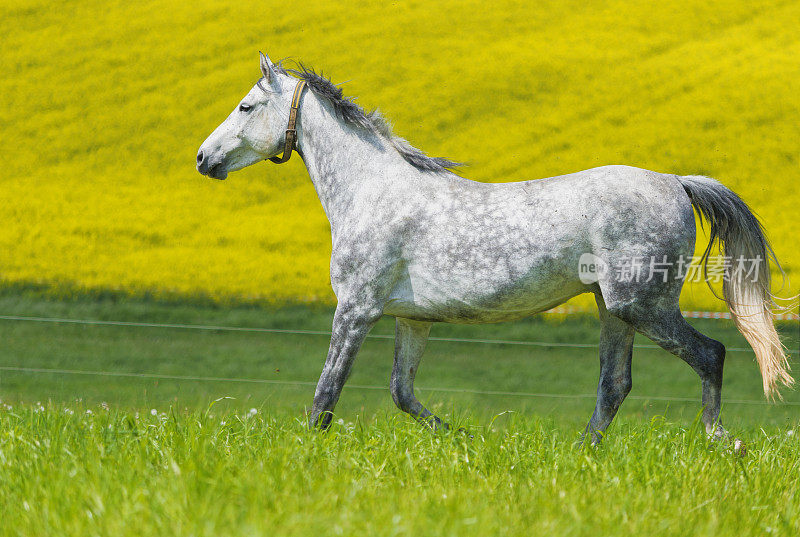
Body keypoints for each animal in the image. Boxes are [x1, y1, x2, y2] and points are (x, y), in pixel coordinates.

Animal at [195, 52, 792, 442]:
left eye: (246, 106)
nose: (204, 158)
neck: (372, 192)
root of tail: (676, 181)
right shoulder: (412, 320)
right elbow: (402, 393)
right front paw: (462, 440)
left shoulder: (356, 310)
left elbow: (326, 396)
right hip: (614, 310)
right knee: (614, 386)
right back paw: (582, 455)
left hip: (641, 304)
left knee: (709, 355)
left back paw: (720, 442)